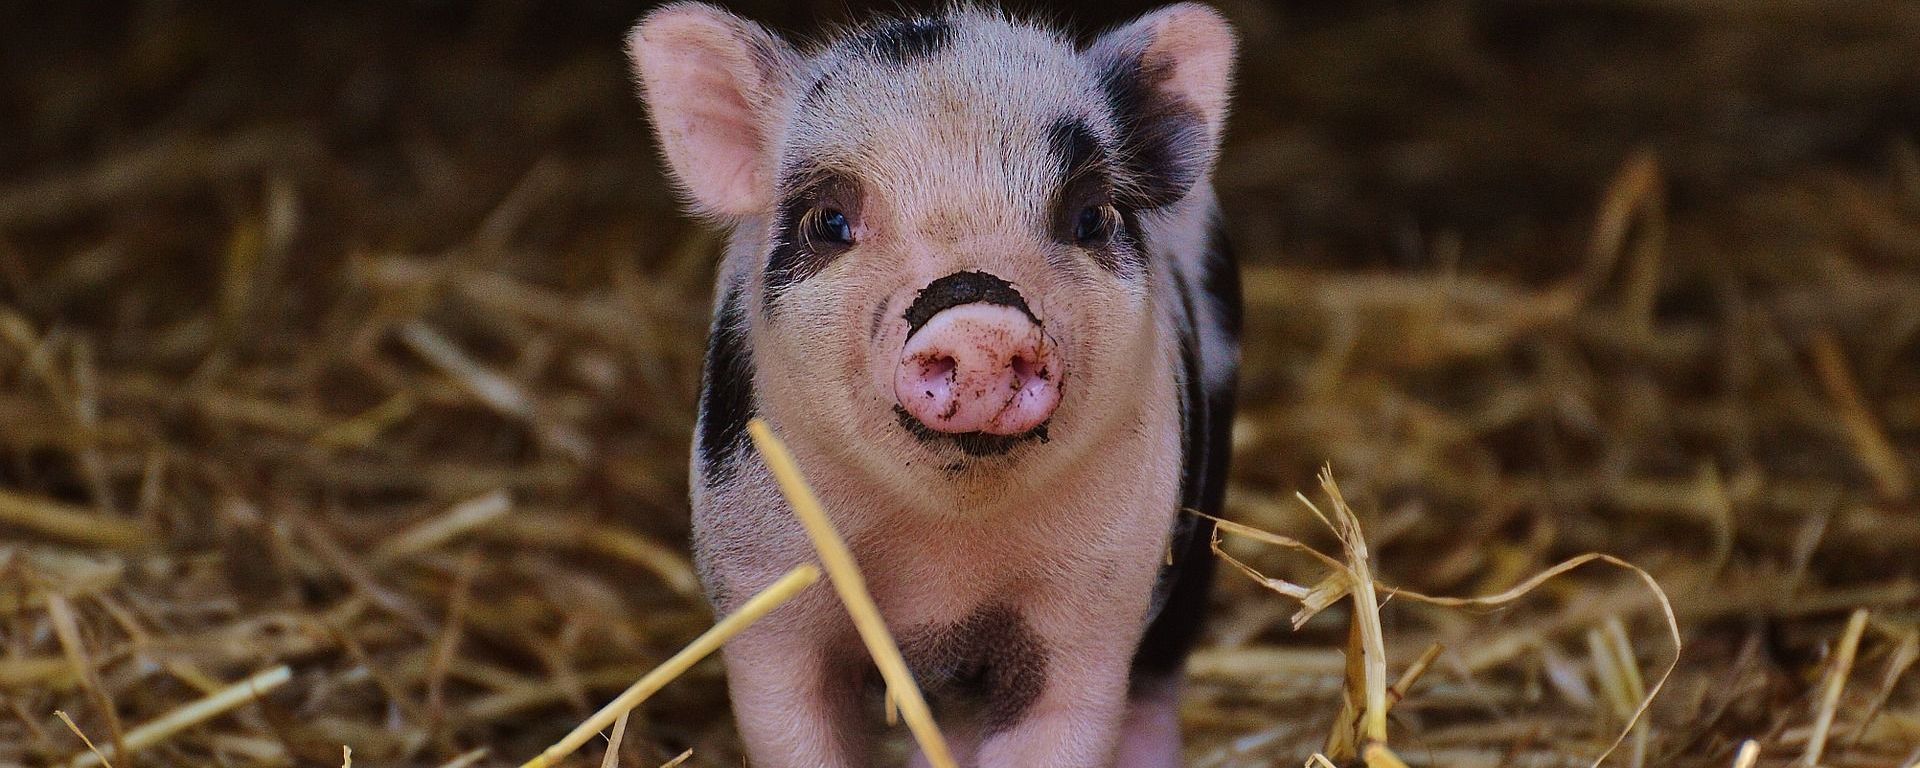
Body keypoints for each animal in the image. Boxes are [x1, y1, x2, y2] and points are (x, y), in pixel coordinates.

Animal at [625, 3, 1238, 766]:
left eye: (1091, 216)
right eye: (829, 221)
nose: (979, 319)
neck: (944, 555)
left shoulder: (1096, 599)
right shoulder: (762, 585)